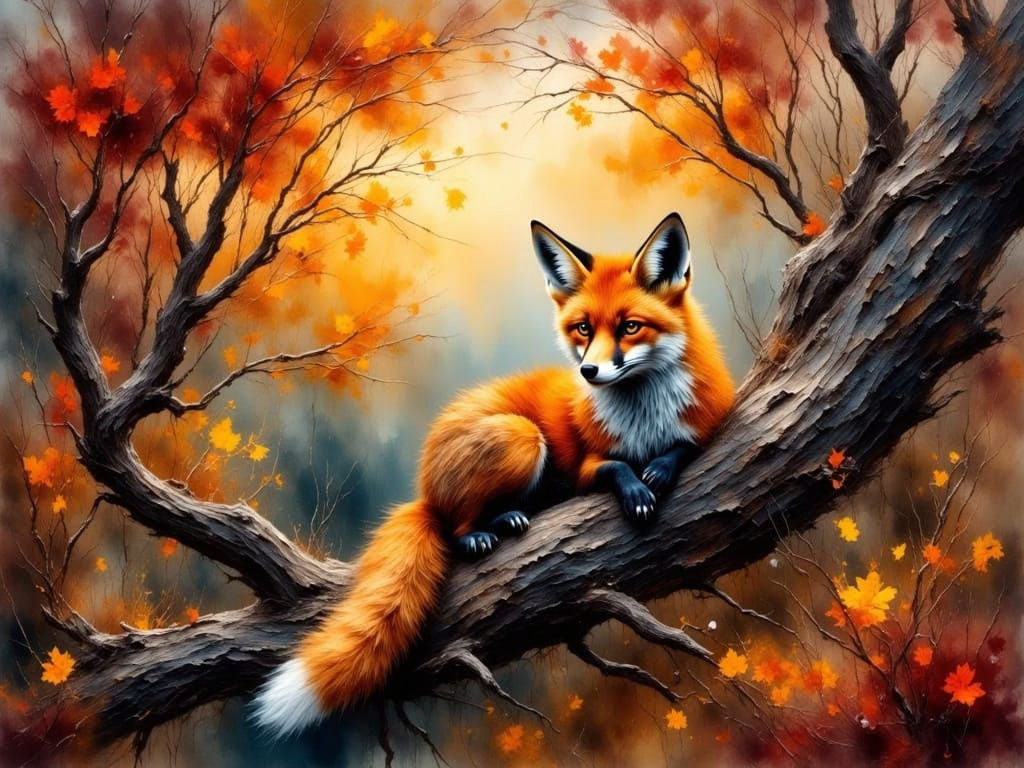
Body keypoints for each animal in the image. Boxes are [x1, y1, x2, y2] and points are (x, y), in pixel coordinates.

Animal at [252, 212, 735, 736]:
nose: (588, 372)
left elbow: (685, 447)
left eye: (630, 327)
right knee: (455, 526)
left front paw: (660, 470)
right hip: (523, 438)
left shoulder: (708, 422)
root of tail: (424, 487)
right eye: (583, 328)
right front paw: (636, 490)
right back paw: (487, 530)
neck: (645, 420)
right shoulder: (587, 465)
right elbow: (616, 466)